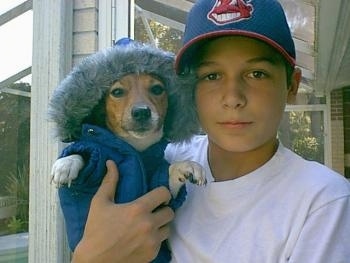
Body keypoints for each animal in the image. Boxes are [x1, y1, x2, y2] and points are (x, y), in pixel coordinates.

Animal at [46, 38, 205, 262]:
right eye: (117, 92)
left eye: (157, 89)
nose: (141, 112)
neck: (137, 149)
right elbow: (86, 153)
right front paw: (66, 163)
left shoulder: (162, 198)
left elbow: (169, 175)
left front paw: (187, 167)